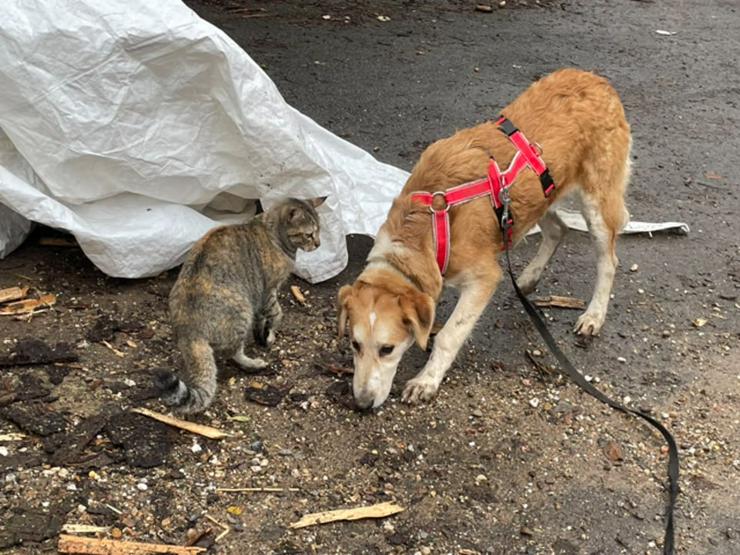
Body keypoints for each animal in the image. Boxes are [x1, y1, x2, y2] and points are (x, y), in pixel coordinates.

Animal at [159, 198, 324, 414]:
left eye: (320, 231)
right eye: (309, 234)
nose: (318, 243)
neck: (273, 233)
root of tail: (189, 329)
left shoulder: (259, 299)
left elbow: (262, 319)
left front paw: (263, 334)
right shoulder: (268, 291)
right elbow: (278, 313)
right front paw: (270, 335)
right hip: (242, 312)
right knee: (232, 352)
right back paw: (254, 363)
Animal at [336, 68, 632, 408]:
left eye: (388, 349)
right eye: (355, 344)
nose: (361, 404)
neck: (425, 229)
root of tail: (596, 80)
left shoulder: (484, 277)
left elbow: (449, 335)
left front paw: (426, 381)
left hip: (597, 205)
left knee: (608, 261)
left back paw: (594, 315)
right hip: (536, 196)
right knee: (558, 229)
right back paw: (529, 278)